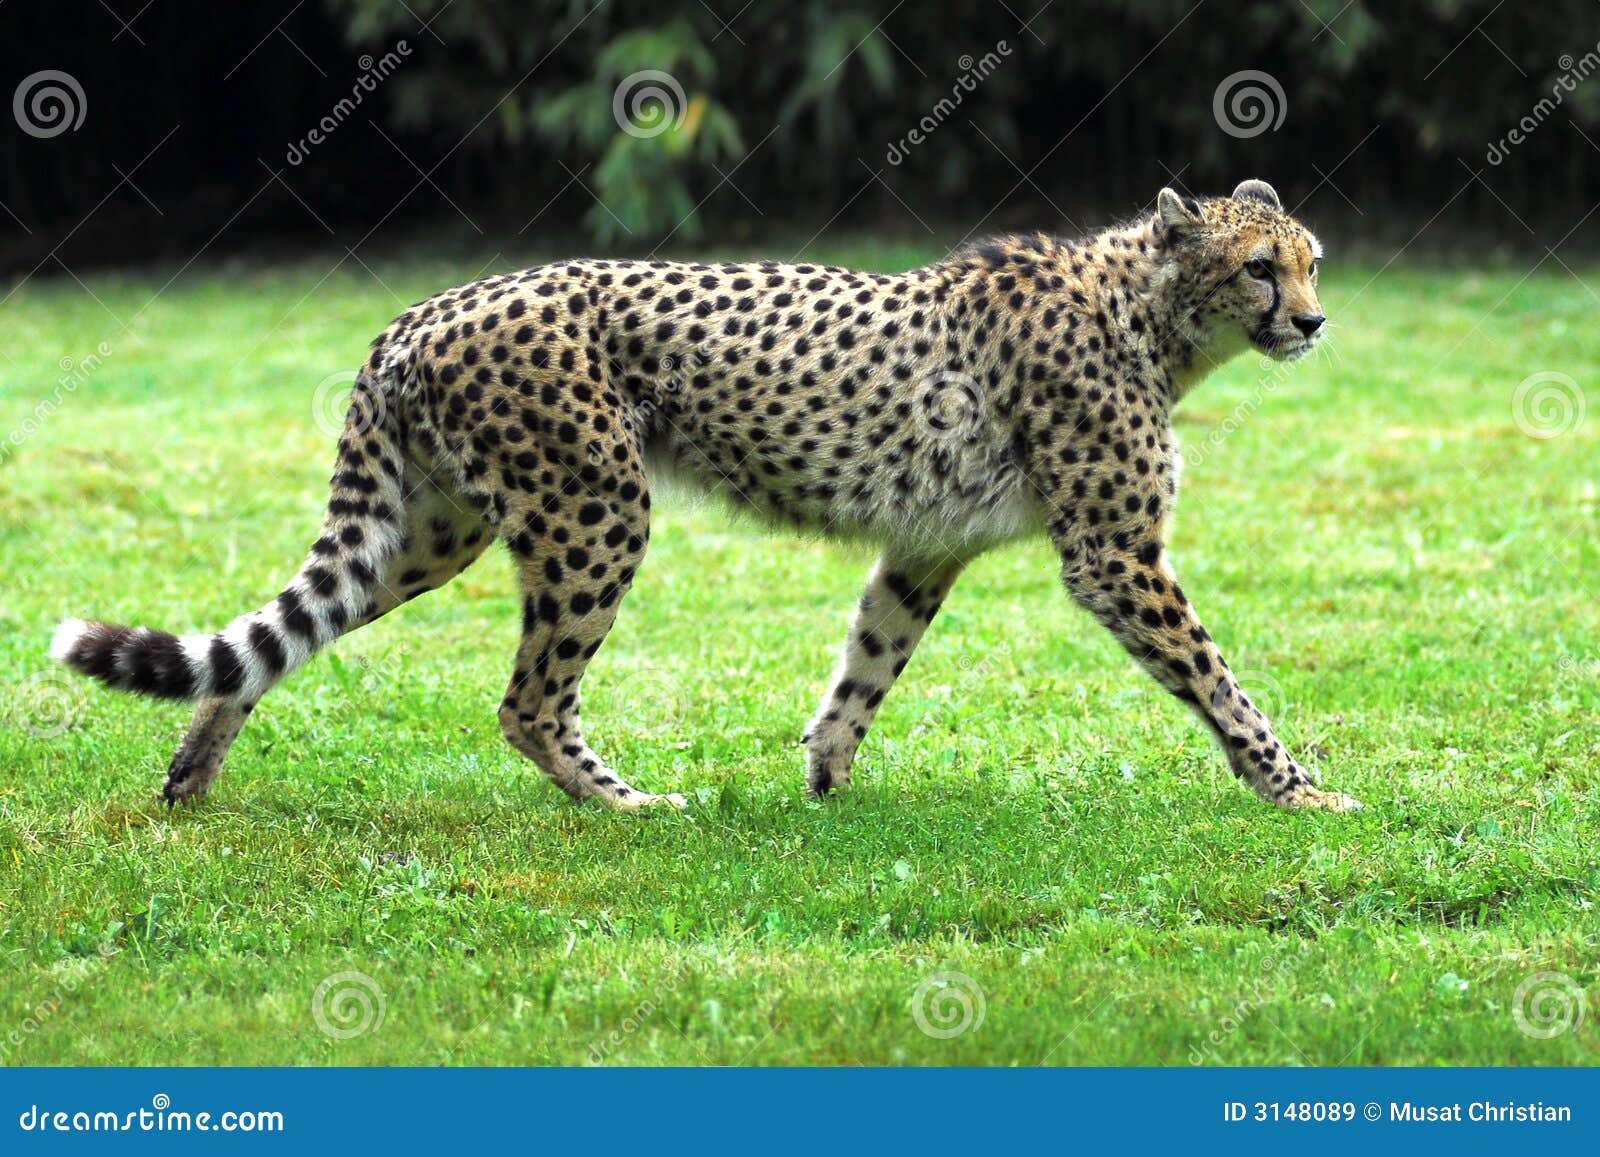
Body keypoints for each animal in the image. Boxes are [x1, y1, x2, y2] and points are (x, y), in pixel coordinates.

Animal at [52, 178, 1362, 814]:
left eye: (1312, 260)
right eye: (1260, 266)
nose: (1311, 322)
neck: (1152, 313)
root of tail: (425, 305)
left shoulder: (923, 548)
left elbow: (867, 663)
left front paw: (824, 781)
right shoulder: (1115, 554)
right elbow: (1221, 680)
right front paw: (1300, 791)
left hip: (432, 528)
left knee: (276, 639)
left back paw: (190, 776)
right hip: (594, 508)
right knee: (527, 702)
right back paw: (630, 804)